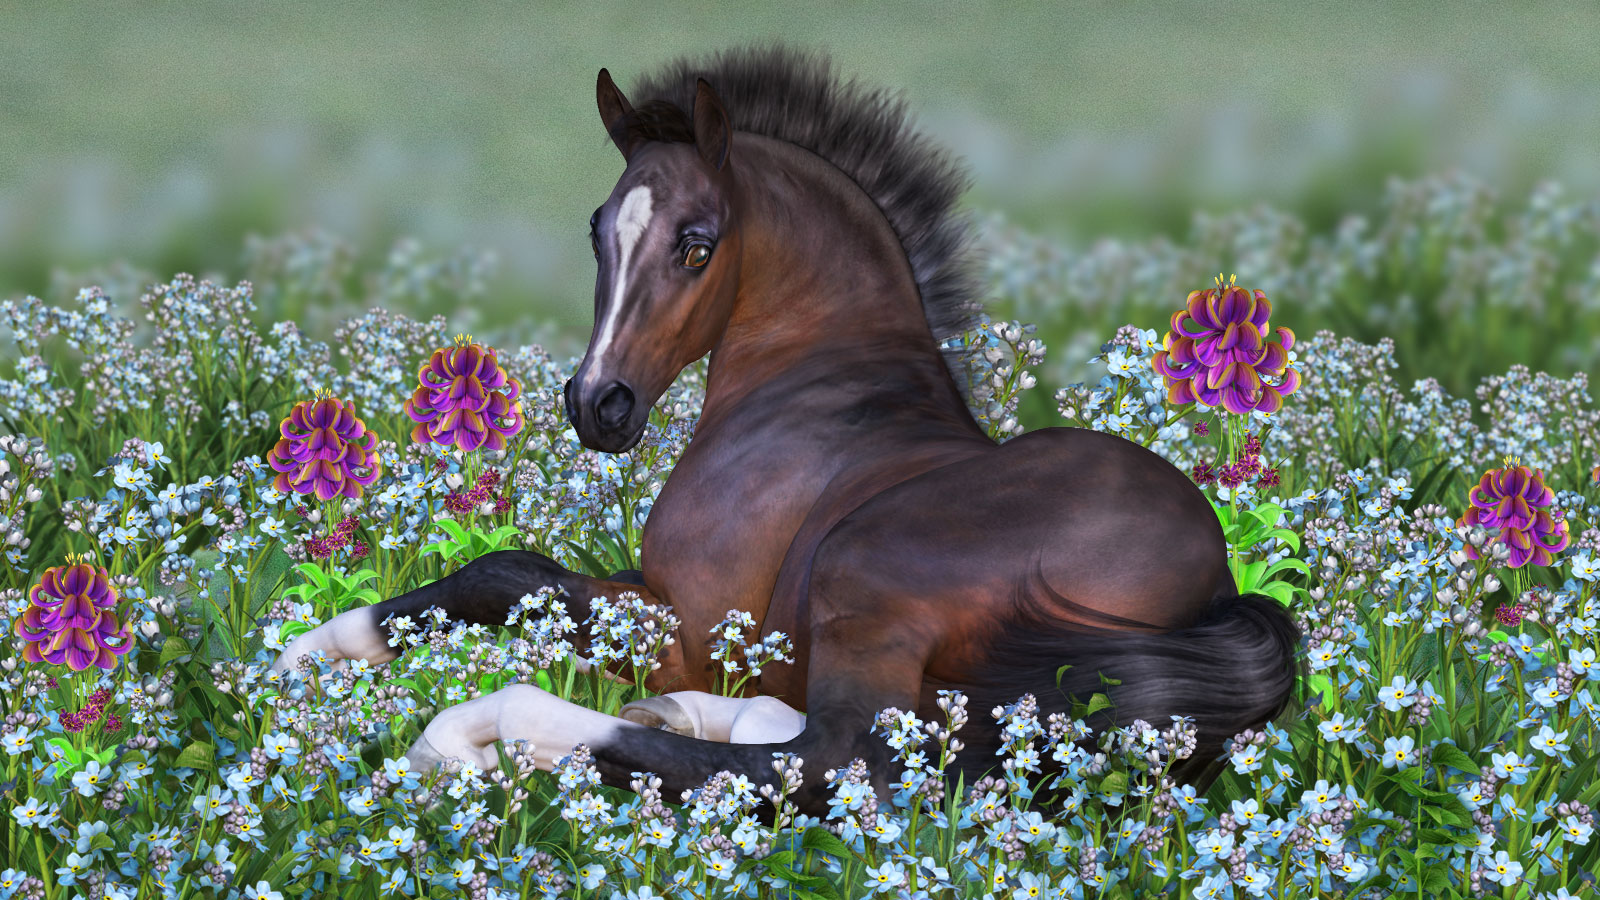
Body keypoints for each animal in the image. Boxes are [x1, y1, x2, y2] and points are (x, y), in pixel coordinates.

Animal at [271, 42, 1303, 815]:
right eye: (598, 229)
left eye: (698, 243)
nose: (598, 404)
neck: (816, 388)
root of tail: (1216, 589)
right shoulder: (661, 603)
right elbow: (505, 573)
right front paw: (308, 656)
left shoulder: (690, 622)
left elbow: (516, 580)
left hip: (867, 573)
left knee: (832, 767)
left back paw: (486, 729)